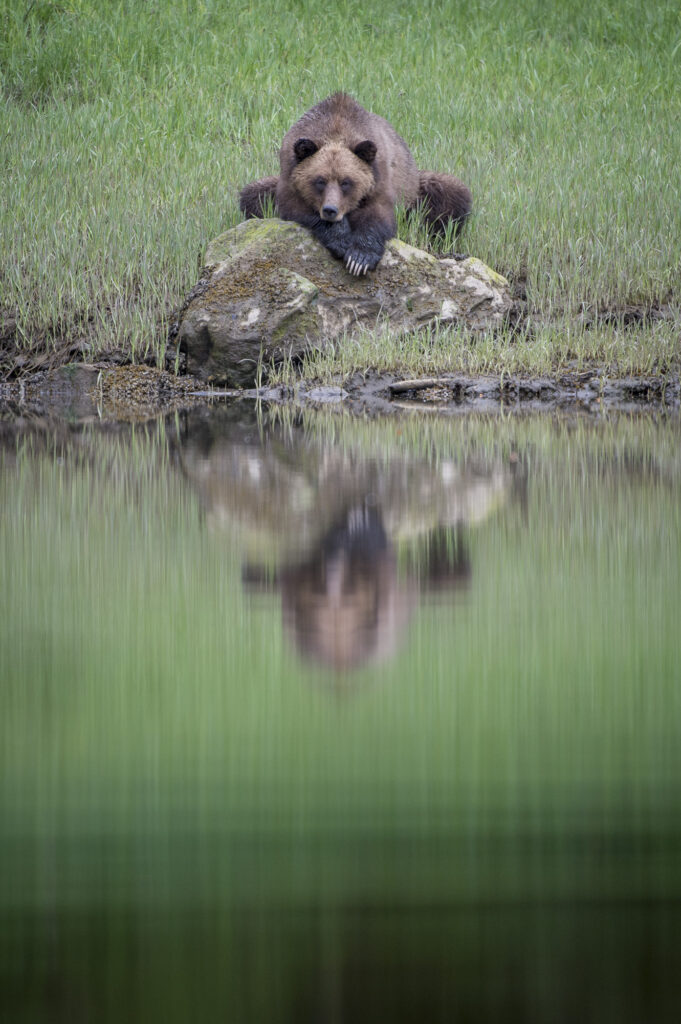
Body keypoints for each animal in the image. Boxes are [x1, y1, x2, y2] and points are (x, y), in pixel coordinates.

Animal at [239, 93, 472, 276]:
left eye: (346, 182)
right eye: (320, 181)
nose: (330, 210)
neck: (336, 129)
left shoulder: (379, 177)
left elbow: (378, 215)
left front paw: (360, 258)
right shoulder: (290, 175)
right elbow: (295, 207)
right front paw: (341, 240)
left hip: (416, 188)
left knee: (451, 196)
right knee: (252, 195)